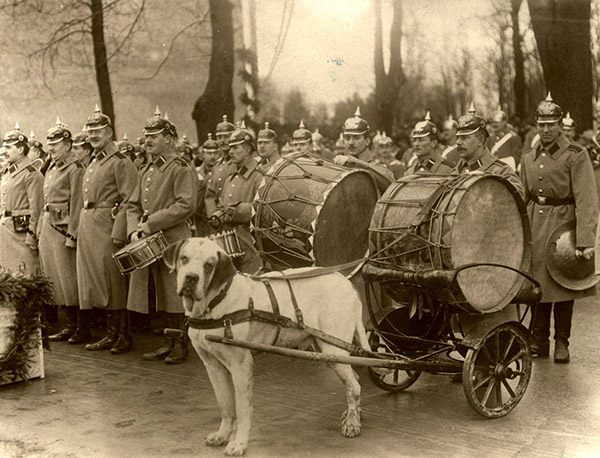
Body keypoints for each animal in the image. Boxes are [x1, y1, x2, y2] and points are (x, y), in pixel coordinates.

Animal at [164, 238, 370, 456]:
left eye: (209, 265)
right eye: (183, 258)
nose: (190, 278)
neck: (215, 303)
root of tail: (347, 283)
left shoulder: (241, 365)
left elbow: (242, 408)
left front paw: (239, 443)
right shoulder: (213, 367)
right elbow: (225, 404)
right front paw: (222, 434)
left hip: (333, 349)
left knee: (354, 385)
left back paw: (352, 423)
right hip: (328, 350)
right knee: (353, 380)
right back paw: (353, 414)